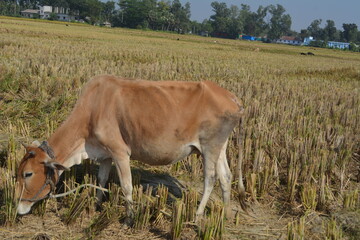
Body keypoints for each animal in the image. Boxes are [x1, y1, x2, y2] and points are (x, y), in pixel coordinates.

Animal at [15, 75, 246, 221]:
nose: (19, 207)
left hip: (209, 147)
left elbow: (127, 187)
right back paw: (226, 214)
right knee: (226, 177)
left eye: (28, 174)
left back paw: (197, 216)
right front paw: (96, 205)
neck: (92, 109)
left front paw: (130, 218)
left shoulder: (120, 153)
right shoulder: (106, 155)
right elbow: (101, 180)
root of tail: (232, 98)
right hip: (220, 148)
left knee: (210, 179)